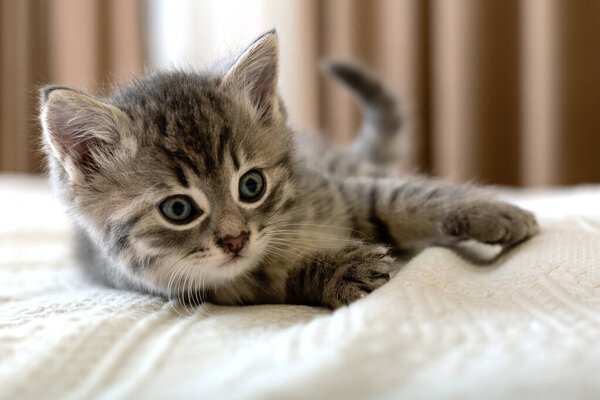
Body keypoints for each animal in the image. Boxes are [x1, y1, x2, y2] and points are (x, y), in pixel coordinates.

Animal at [41, 30, 540, 310]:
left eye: (251, 185)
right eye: (178, 209)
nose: (235, 240)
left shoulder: (339, 189)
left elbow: (400, 198)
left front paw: (493, 213)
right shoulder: (223, 289)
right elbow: (283, 278)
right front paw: (341, 271)